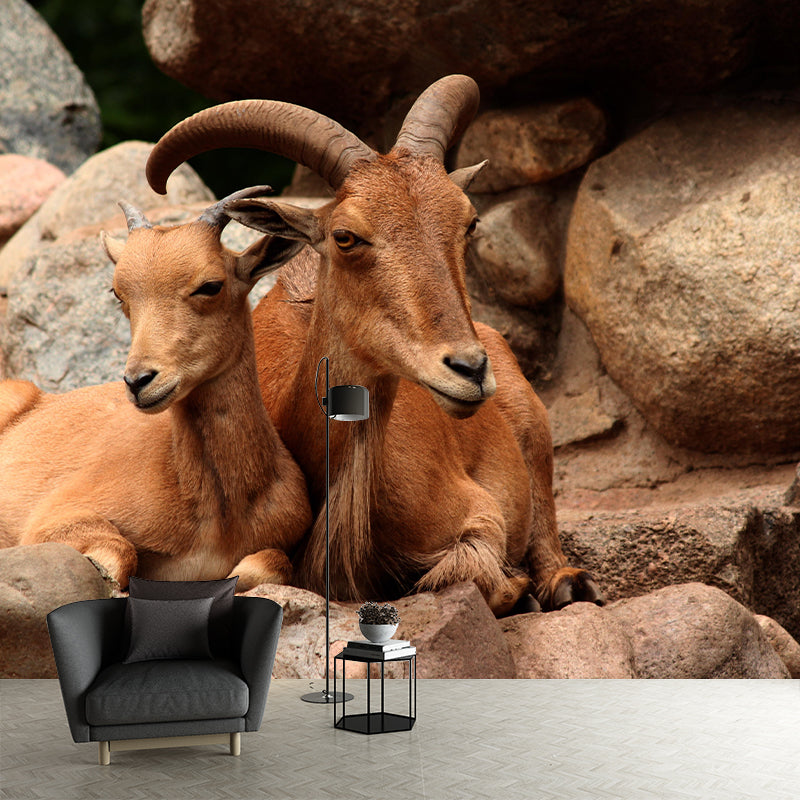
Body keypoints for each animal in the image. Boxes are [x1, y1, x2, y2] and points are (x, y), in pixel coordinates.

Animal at [0, 189, 311, 590]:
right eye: (118, 293)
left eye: (210, 285)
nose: (139, 381)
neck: (219, 510)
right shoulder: (52, 518)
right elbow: (119, 552)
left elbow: (267, 564)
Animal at [145, 75, 603, 614]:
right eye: (345, 236)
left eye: (469, 222)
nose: (469, 369)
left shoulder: (478, 514)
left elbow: (467, 571)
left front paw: (521, 589)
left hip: (533, 423)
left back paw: (565, 583)